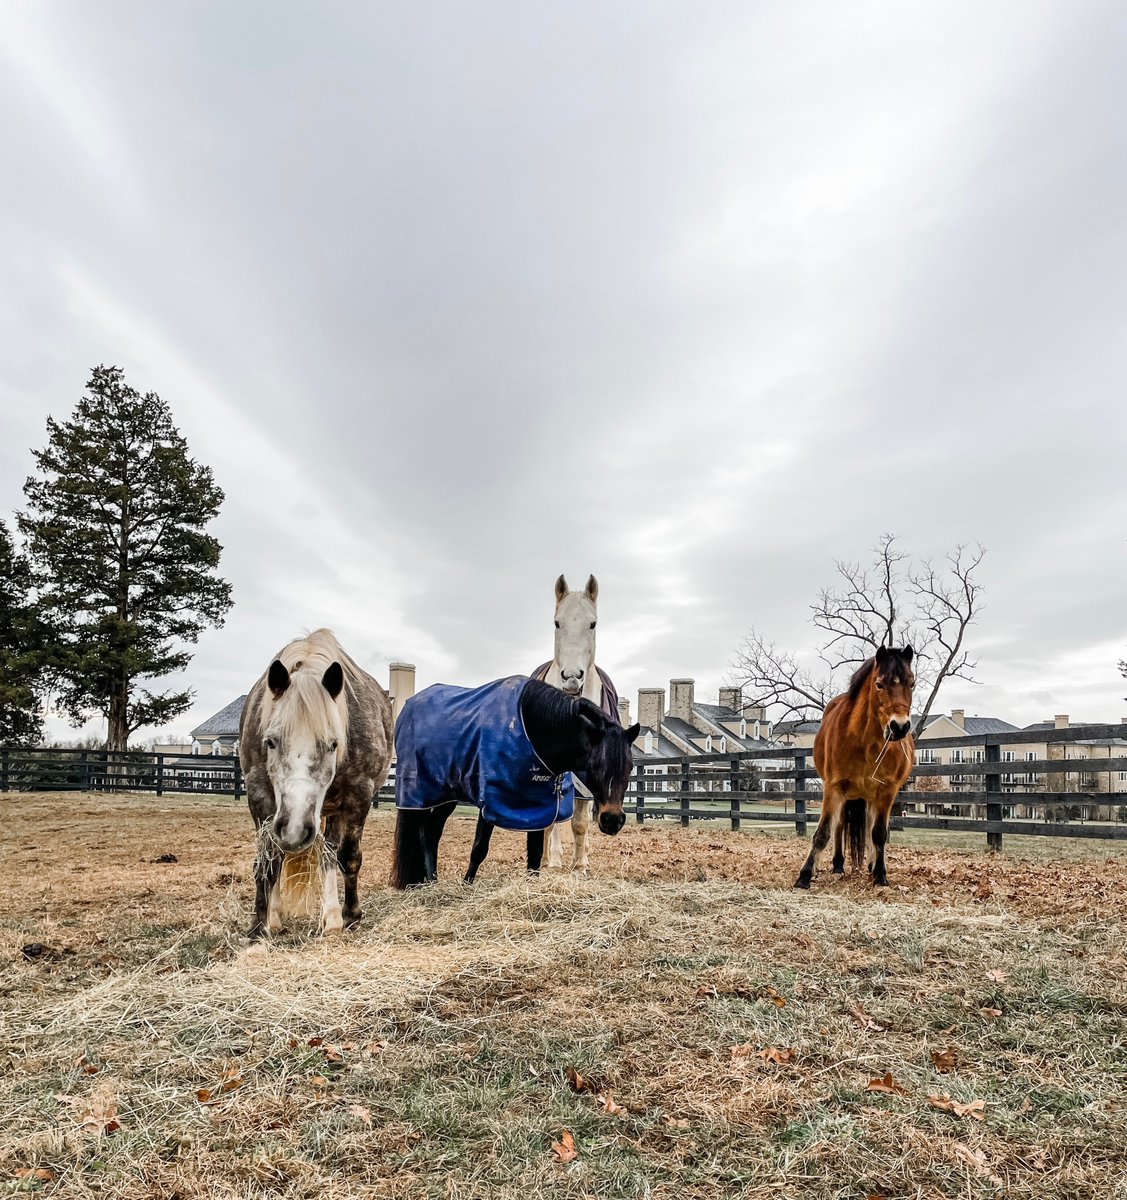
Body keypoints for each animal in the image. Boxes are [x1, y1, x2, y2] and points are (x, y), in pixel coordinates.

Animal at [240, 628, 393, 936]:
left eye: (333, 744)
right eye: (270, 741)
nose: (295, 830)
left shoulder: (359, 794)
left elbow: (349, 857)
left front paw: (350, 915)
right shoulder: (259, 793)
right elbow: (268, 860)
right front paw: (259, 928)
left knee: (330, 852)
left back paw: (332, 917)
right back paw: (276, 916)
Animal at [388, 676, 638, 892]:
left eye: (630, 767)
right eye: (595, 766)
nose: (613, 820)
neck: (533, 730)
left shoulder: (537, 808)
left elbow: (535, 854)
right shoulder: (491, 802)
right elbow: (479, 848)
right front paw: (467, 885)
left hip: (447, 795)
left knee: (432, 832)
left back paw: (431, 880)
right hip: (421, 793)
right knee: (424, 832)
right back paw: (430, 883)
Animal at [530, 573, 624, 873]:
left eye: (592, 624)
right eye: (557, 622)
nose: (572, 677)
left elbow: (580, 822)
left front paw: (580, 864)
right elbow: (550, 820)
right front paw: (546, 862)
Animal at [792, 648, 916, 892]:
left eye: (912, 683)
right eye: (879, 684)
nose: (899, 727)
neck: (865, 742)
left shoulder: (887, 792)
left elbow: (879, 834)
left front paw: (880, 875)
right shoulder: (834, 787)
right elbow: (823, 833)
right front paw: (805, 876)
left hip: (871, 796)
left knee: (870, 827)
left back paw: (871, 865)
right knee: (839, 825)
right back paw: (838, 864)